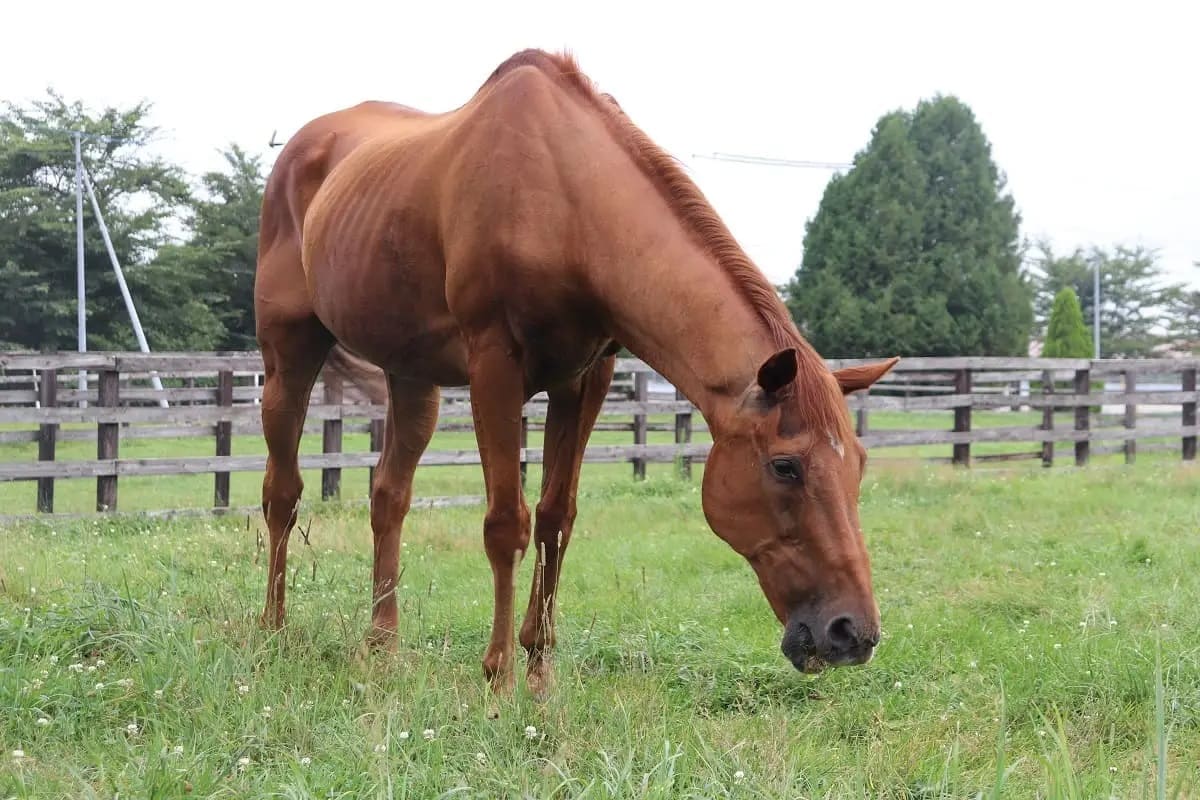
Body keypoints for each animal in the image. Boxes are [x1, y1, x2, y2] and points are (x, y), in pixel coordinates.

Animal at [253, 48, 897, 695]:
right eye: (785, 466)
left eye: (861, 465)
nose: (852, 633)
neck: (565, 204)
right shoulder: (495, 369)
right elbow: (506, 523)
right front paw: (499, 678)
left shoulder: (585, 379)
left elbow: (555, 519)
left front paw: (539, 674)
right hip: (289, 358)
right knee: (282, 493)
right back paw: (273, 630)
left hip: (412, 378)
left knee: (389, 497)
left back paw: (381, 646)